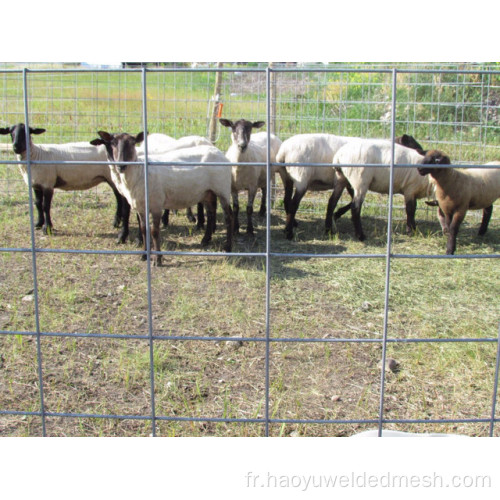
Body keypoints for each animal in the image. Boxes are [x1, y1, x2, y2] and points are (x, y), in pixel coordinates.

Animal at [90, 131, 234, 268]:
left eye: (132, 143)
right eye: (112, 143)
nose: (121, 166)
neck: (139, 172)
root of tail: (218, 151)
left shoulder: (156, 205)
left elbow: (154, 232)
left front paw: (157, 259)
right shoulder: (141, 207)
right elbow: (144, 229)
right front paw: (144, 255)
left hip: (223, 188)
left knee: (228, 217)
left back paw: (228, 248)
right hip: (207, 192)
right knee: (211, 212)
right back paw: (205, 239)